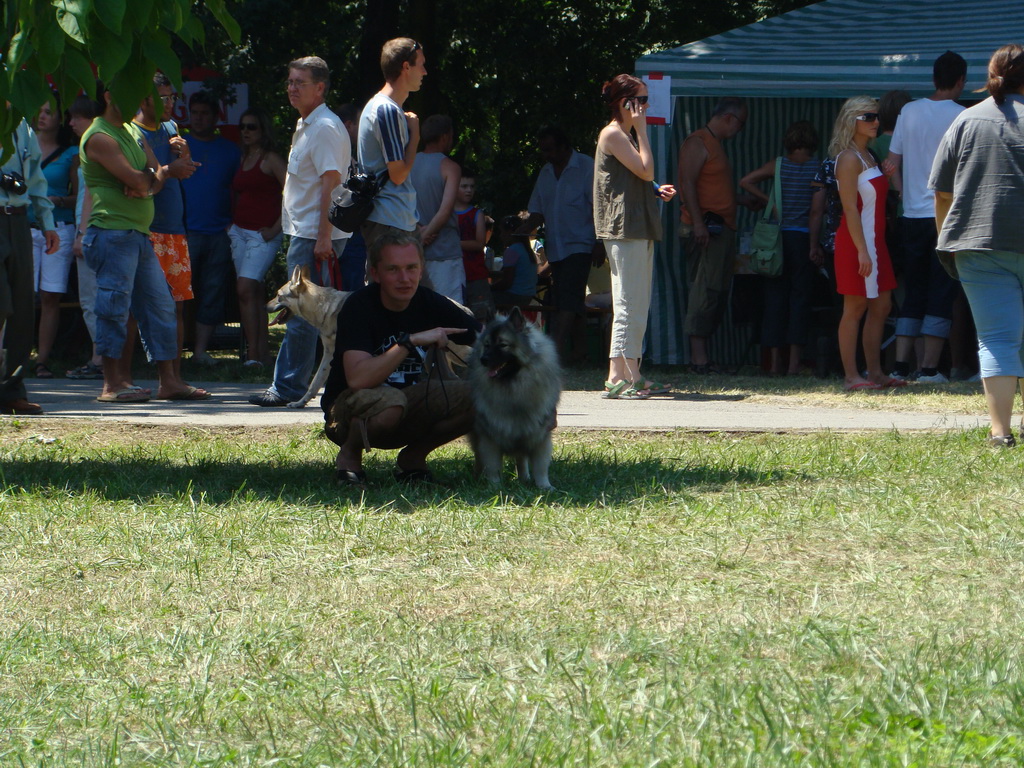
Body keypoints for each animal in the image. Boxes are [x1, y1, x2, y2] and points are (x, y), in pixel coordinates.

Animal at [468, 305, 565, 487]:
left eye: (503, 345)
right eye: (486, 345)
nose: (483, 359)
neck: (514, 388)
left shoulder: (539, 435)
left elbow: (540, 467)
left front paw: (544, 487)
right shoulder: (489, 437)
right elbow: (493, 466)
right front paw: (494, 486)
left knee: (521, 459)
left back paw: (524, 478)